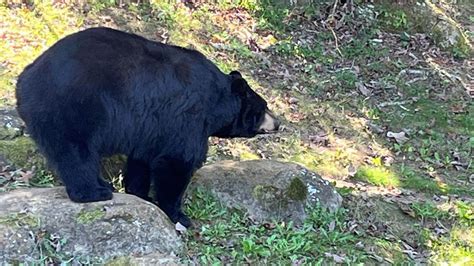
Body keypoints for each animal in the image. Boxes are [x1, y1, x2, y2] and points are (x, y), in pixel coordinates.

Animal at [16, 26, 280, 227]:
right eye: (264, 107)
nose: (278, 123)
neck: (216, 102)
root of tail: (26, 78)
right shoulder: (187, 119)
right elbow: (176, 163)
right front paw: (179, 215)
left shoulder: (150, 128)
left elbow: (141, 161)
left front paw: (141, 195)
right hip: (74, 108)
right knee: (76, 153)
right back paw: (95, 192)